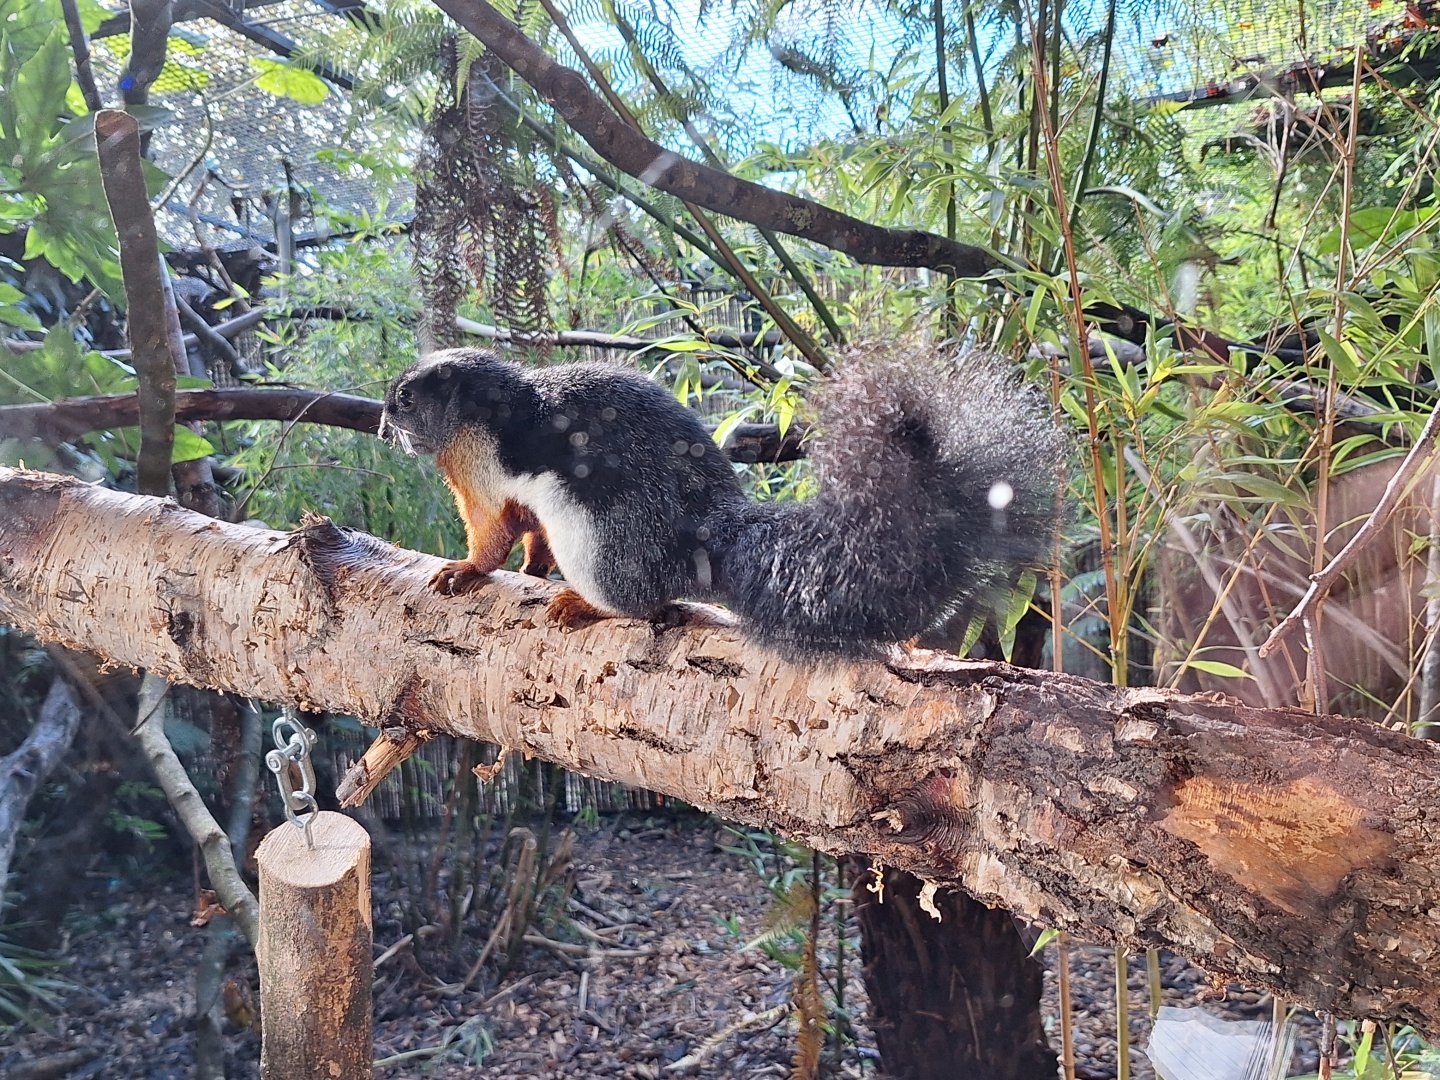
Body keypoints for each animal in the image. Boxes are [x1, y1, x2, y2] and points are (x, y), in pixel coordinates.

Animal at [378, 345, 1065, 657]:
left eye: (407, 397)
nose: (384, 424)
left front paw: (467, 570)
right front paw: (532, 568)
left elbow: (491, 535)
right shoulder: (518, 500)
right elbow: (530, 534)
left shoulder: (484, 484)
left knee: (639, 600)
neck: (482, 413)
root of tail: (704, 540)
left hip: (598, 537)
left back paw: (585, 604)